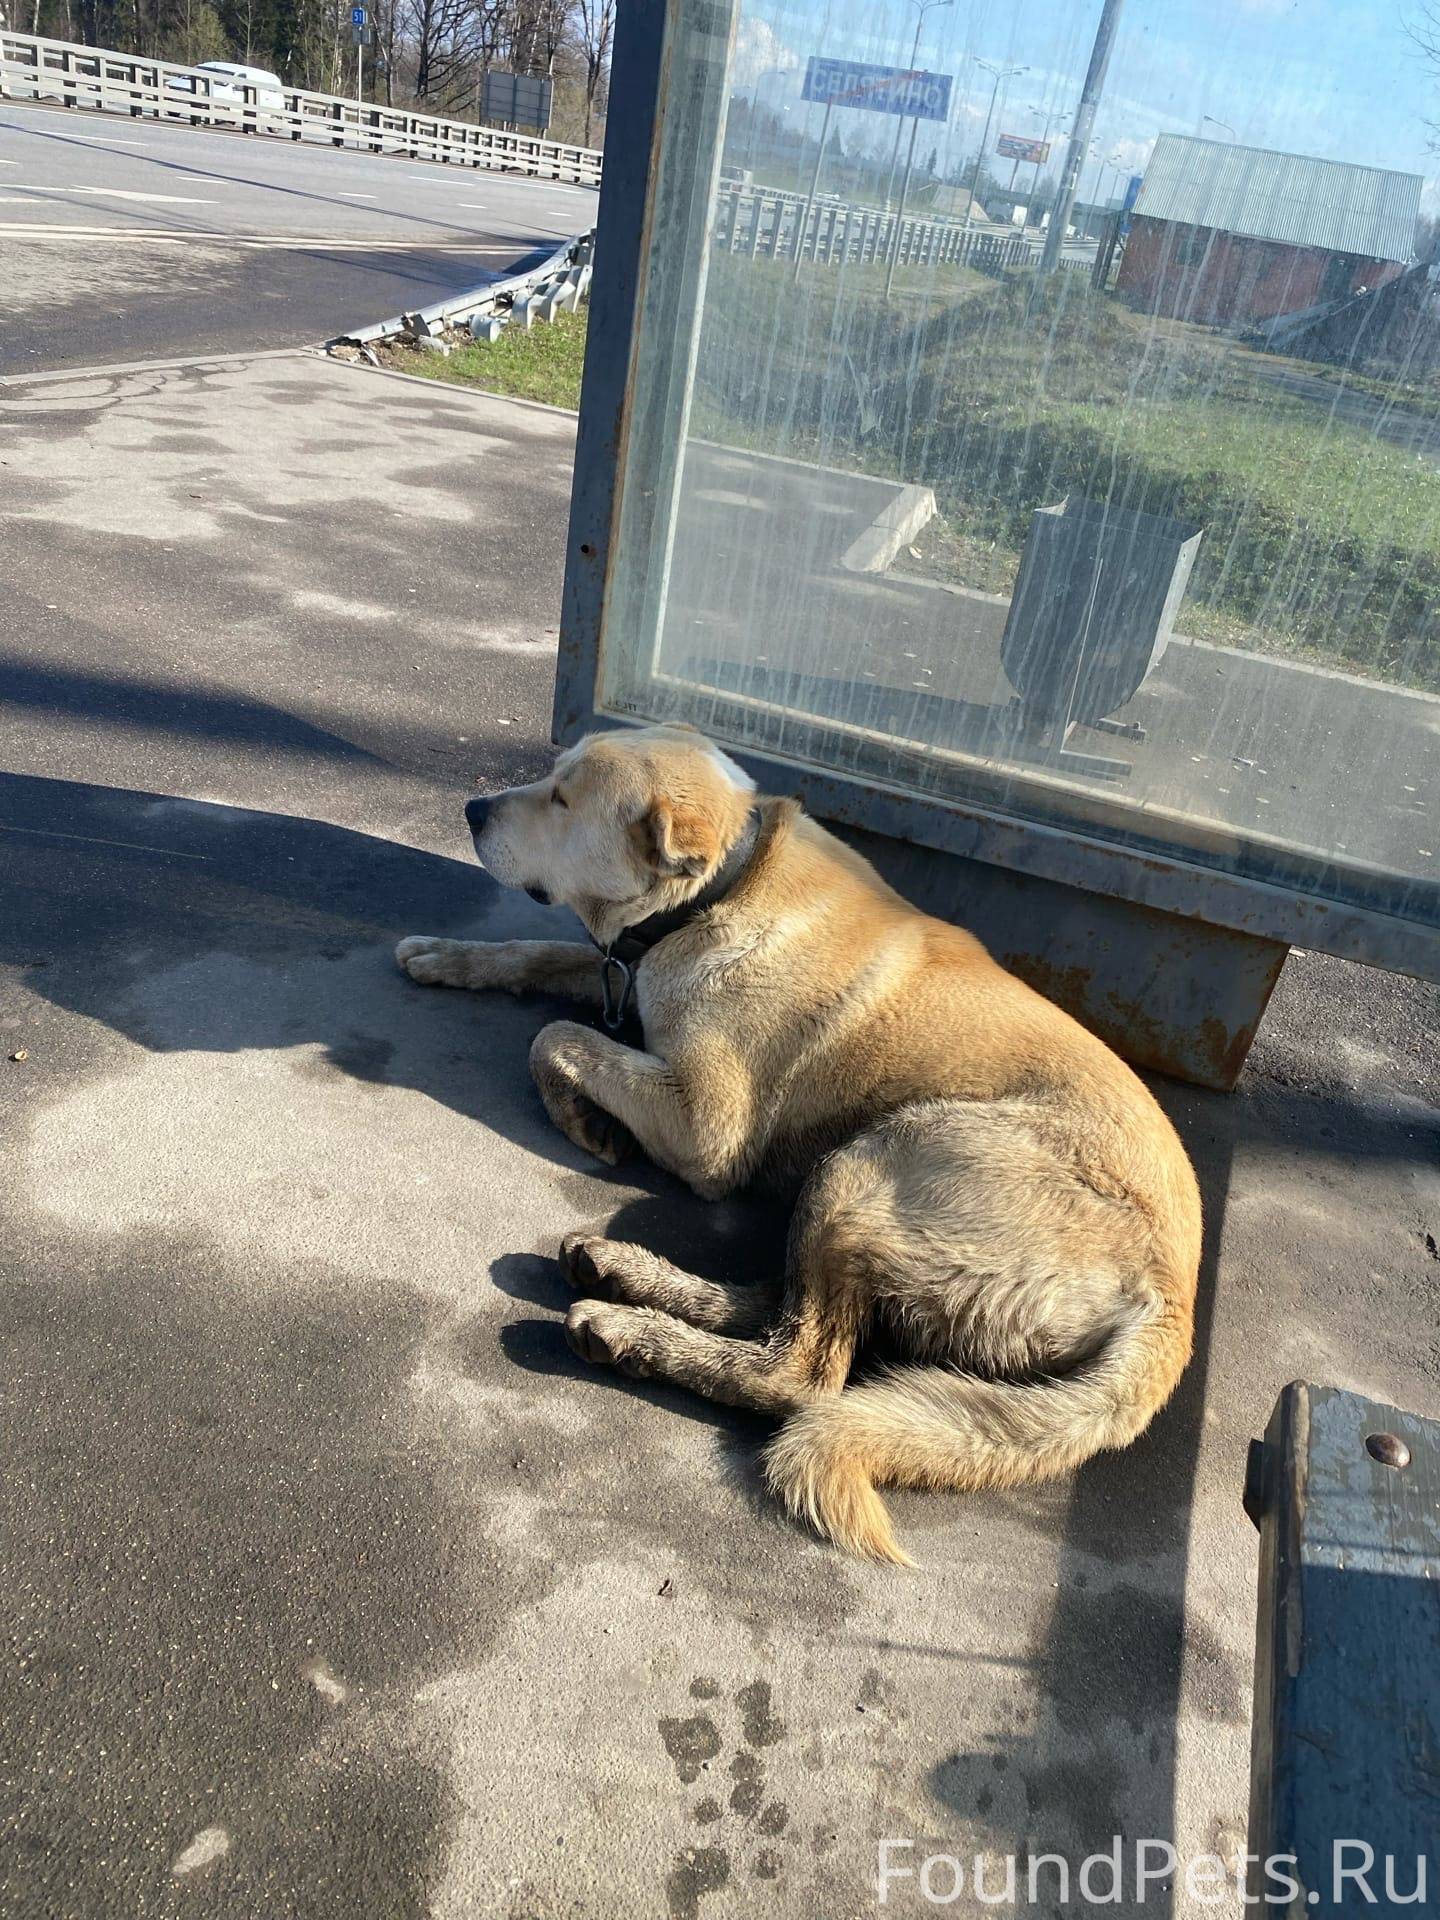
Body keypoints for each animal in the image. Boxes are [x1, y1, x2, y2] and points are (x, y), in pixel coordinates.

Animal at [397, 721, 1205, 1559]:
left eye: (562, 799)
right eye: (551, 776)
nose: (472, 809)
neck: (720, 892)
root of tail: (1172, 1309)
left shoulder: (706, 1130)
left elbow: (557, 1036)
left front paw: (580, 1117)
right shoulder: (628, 975)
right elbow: (547, 958)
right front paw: (447, 956)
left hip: (878, 1159)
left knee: (799, 1370)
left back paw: (630, 1331)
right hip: (855, 1191)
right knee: (778, 1304)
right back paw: (628, 1274)